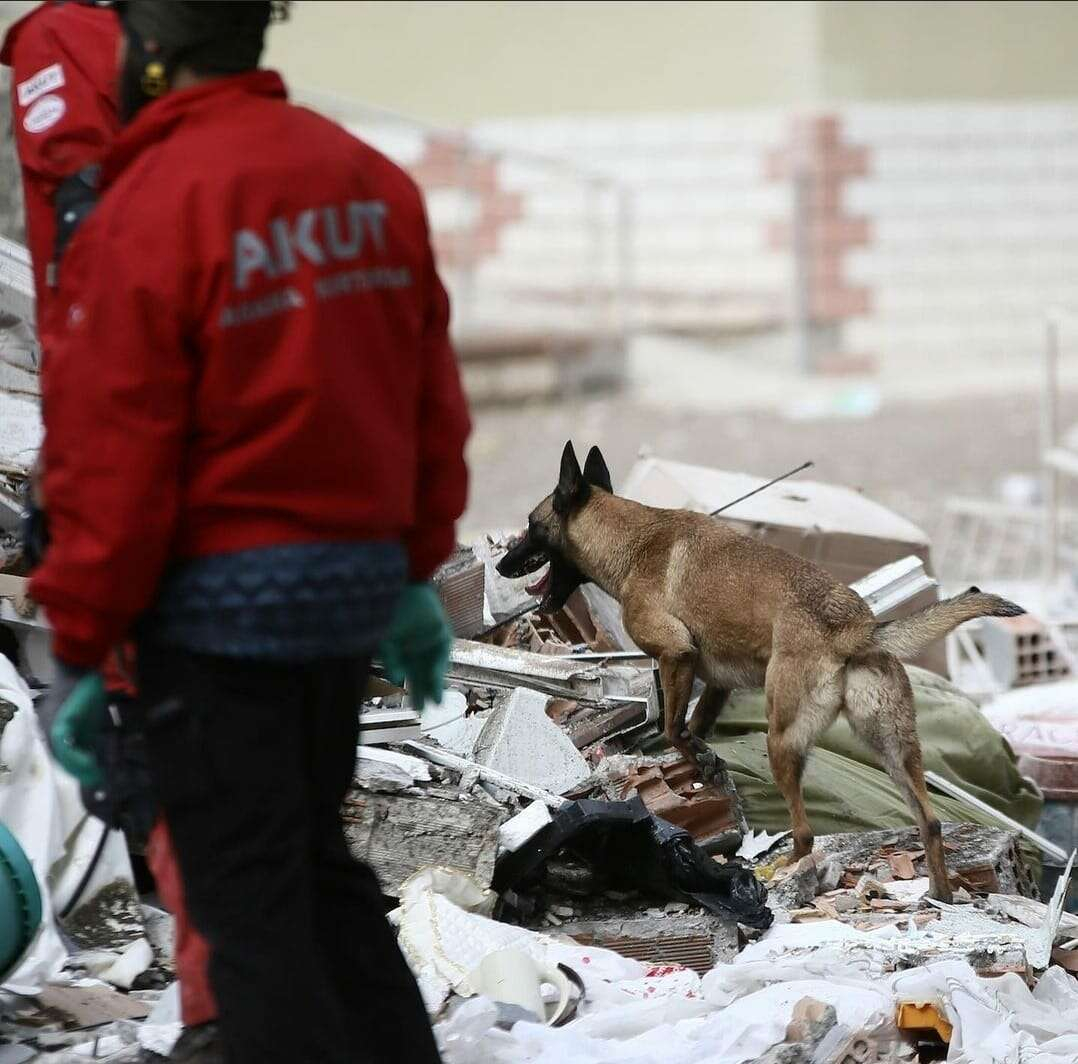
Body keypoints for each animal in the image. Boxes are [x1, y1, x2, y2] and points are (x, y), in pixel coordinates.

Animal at [500, 444, 1021, 901]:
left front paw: (702, 758)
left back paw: (785, 875)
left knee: (806, 832)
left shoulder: (676, 654)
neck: (631, 536)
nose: (502, 563)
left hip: (783, 740)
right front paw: (705, 763)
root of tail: (854, 626)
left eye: (530, 525)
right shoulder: (713, 681)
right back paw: (940, 894)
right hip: (894, 749)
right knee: (929, 821)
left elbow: (671, 727)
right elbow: (690, 727)